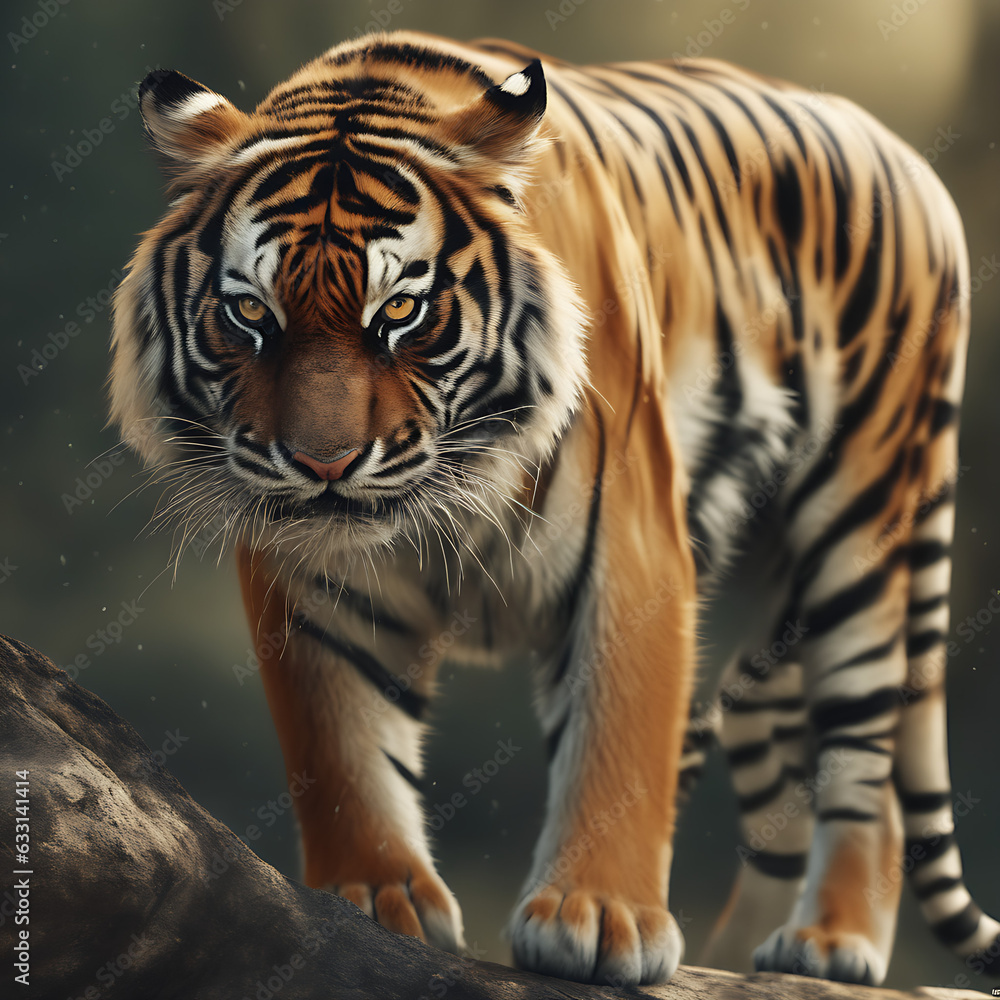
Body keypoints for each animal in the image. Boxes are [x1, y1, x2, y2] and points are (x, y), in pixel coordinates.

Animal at [108, 30, 1000, 987]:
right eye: (249, 312)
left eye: (400, 309)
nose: (322, 463)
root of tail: (902, 152)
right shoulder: (312, 577)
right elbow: (340, 744)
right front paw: (374, 896)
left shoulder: (631, 552)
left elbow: (617, 737)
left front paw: (599, 919)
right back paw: (744, 963)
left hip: (859, 520)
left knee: (864, 755)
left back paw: (832, 942)